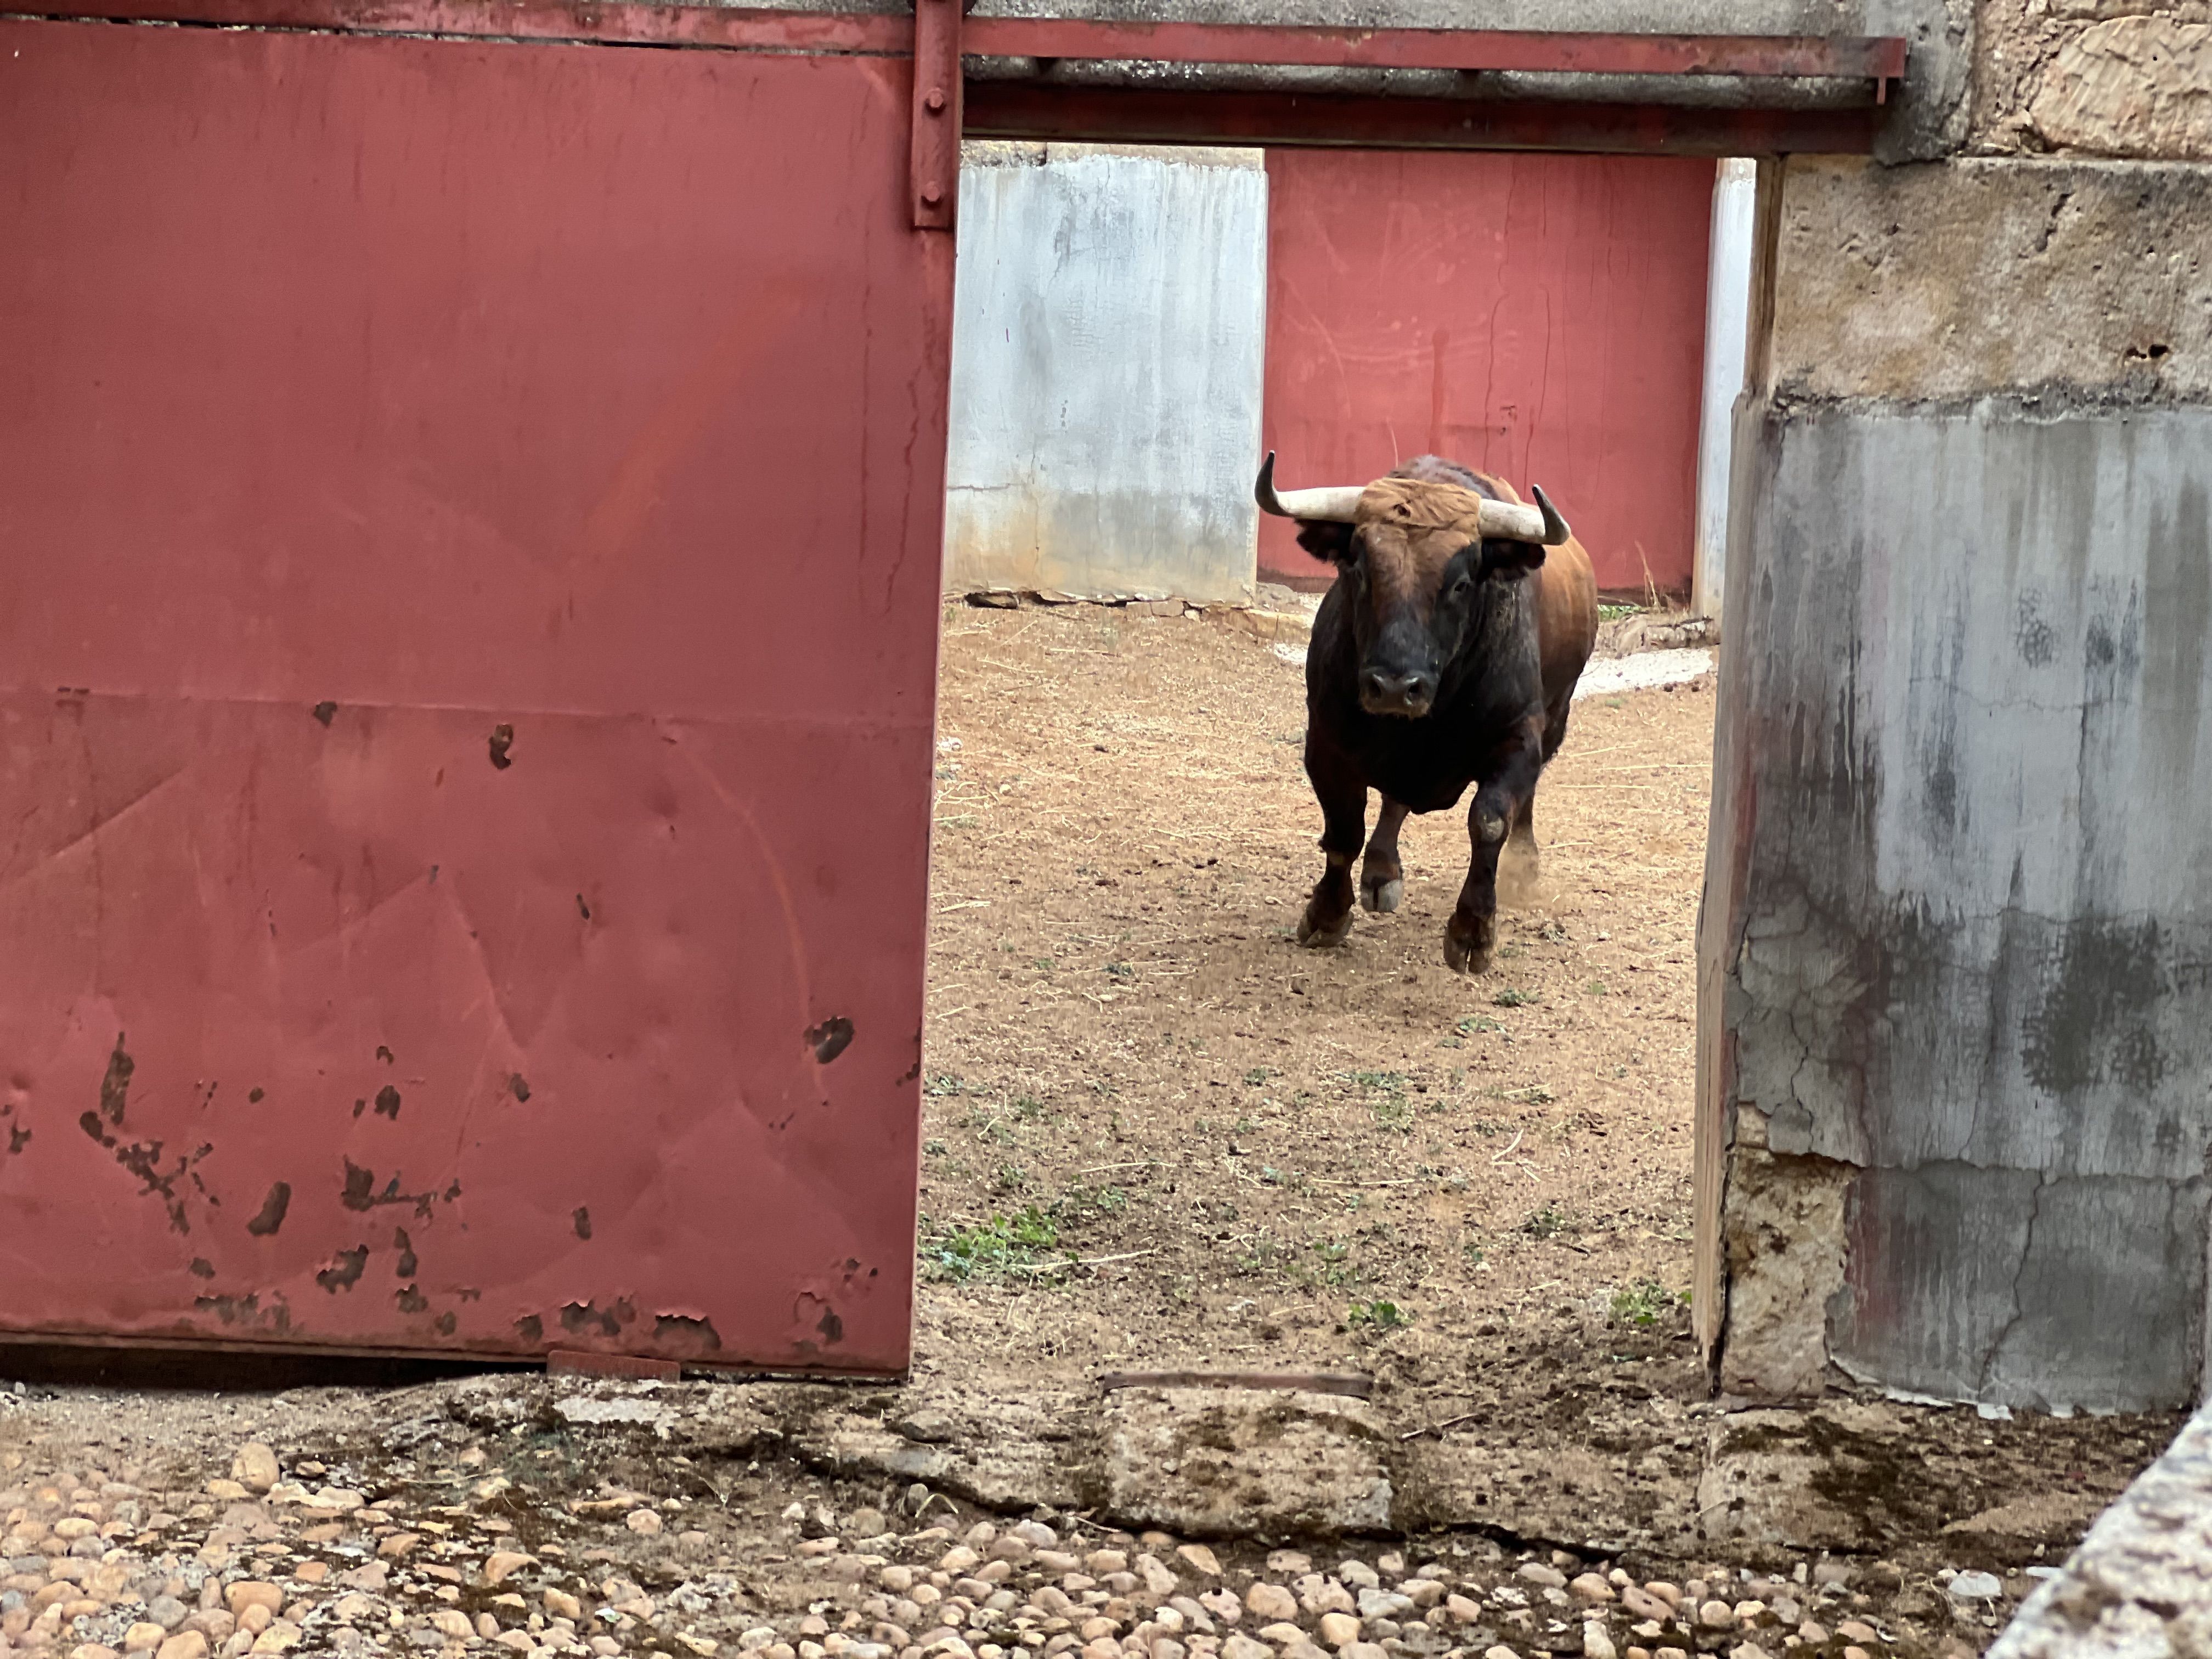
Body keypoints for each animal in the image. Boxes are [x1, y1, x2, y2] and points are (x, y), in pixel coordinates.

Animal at [1256, 449, 1601, 982]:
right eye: (1359, 571)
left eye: (1460, 584)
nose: (1396, 687)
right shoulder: (1326, 744)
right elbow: (1344, 831)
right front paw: (1327, 914)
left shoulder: (1519, 738)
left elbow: (1491, 821)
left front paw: (1473, 930)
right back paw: (1381, 871)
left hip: (1557, 715)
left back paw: (1524, 864)